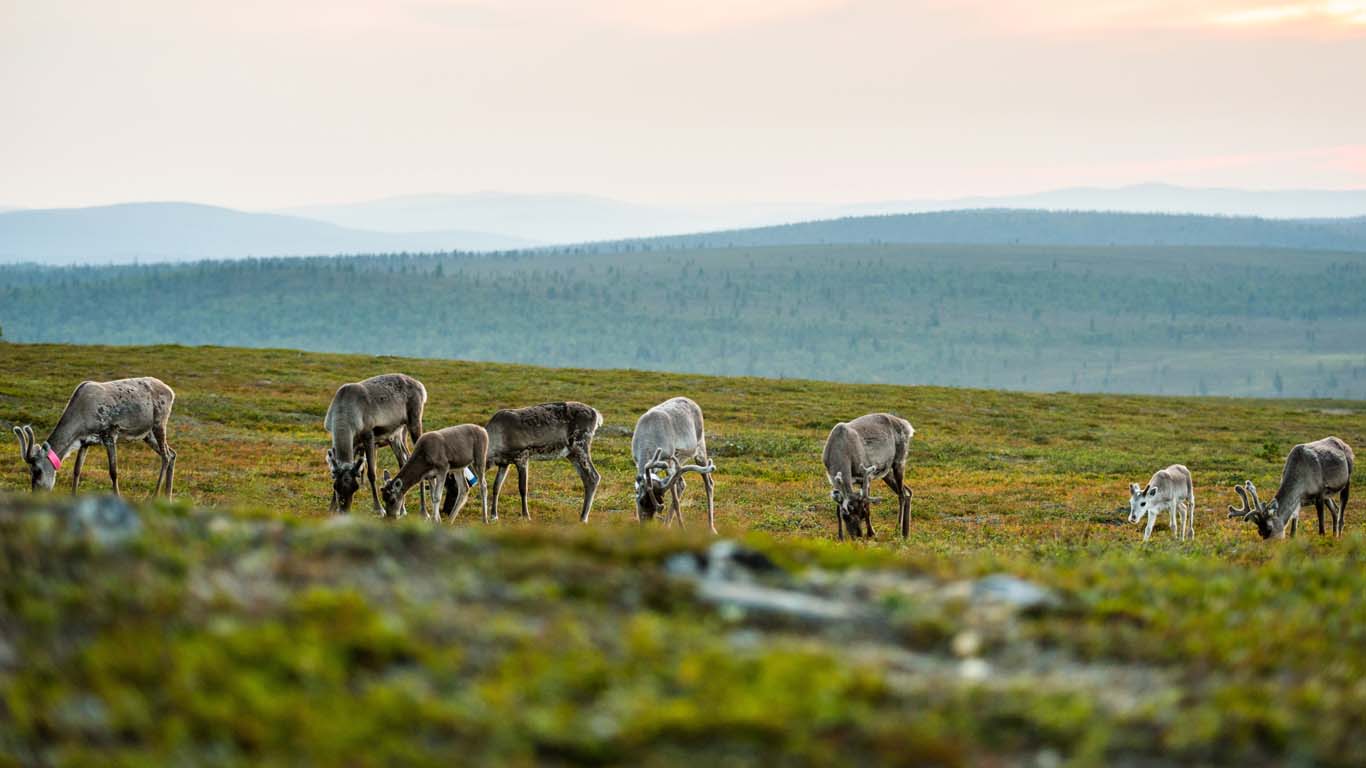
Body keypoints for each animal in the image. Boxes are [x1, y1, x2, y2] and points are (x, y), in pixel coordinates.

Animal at [11, 377, 176, 497]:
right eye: (30, 471)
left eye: (37, 471)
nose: (36, 495)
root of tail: (171, 392)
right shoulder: (85, 442)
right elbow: (77, 470)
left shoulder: (110, 434)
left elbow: (113, 472)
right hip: (147, 434)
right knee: (172, 453)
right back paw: (168, 497)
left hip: (159, 423)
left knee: (166, 456)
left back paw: (155, 497)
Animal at [325, 371, 426, 513]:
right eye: (336, 487)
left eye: (355, 487)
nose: (344, 511)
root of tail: (420, 385)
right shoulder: (353, 443)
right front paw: (331, 507)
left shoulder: (368, 436)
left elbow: (371, 473)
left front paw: (379, 508)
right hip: (396, 436)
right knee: (403, 460)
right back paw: (402, 509)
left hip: (414, 422)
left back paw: (424, 511)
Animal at [628, 396, 715, 530]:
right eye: (642, 502)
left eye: (657, 505)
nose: (645, 526)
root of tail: (692, 401)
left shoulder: (669, 461)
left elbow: (675, 500)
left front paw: (682, 528)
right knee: (682, 484)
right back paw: (666, 525)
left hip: (700, 447)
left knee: (708, 482)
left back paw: (711, 528)